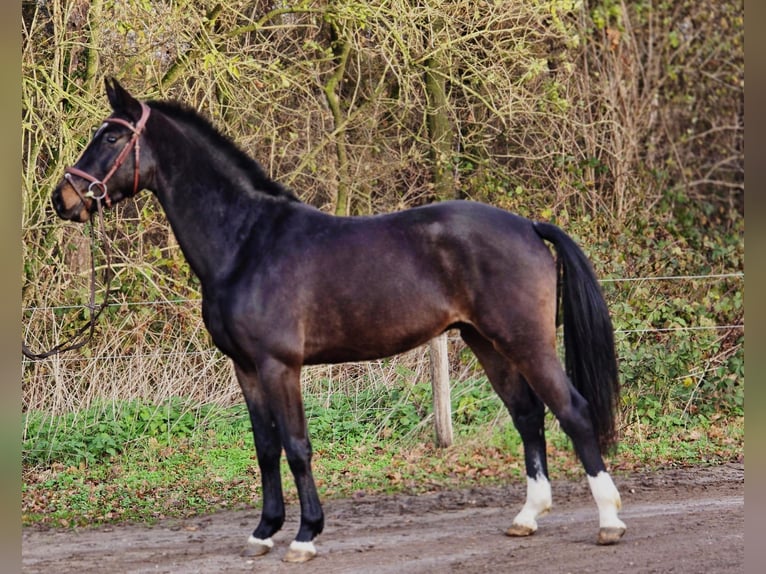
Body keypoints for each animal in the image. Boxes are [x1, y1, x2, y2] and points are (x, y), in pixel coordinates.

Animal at [51, 78, 626, 563]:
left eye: (110, 136)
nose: (64, 198)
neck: (246, 243)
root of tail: (528, 226)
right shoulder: (246, 368)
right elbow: (265, 449)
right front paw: (263, 532)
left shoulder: (279, 366)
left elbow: (297, 447)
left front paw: (305, 536)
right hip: (484, 340)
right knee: (527, 415)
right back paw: (528, 517)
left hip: (525, 340)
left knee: (573, 411)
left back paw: (609, 521)